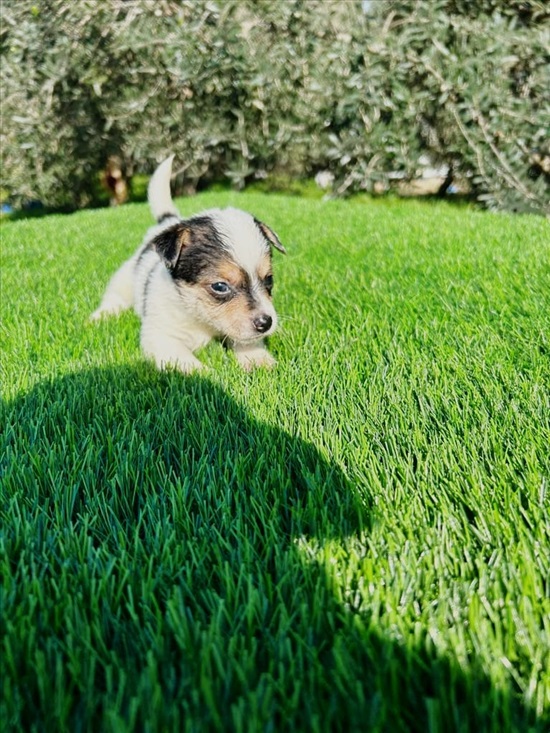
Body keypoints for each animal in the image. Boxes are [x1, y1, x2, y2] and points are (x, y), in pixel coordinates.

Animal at [91, 155, 286, 372]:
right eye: (220, 286)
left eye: (269, 279)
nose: (266, 323)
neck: (201, 318)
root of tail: (169, 221)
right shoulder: (160, 337)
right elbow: (185, 361)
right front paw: (205, 375)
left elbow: (245, 340)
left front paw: (258, 359)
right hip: (125, 278)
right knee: (115, 297)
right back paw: (102, 315)